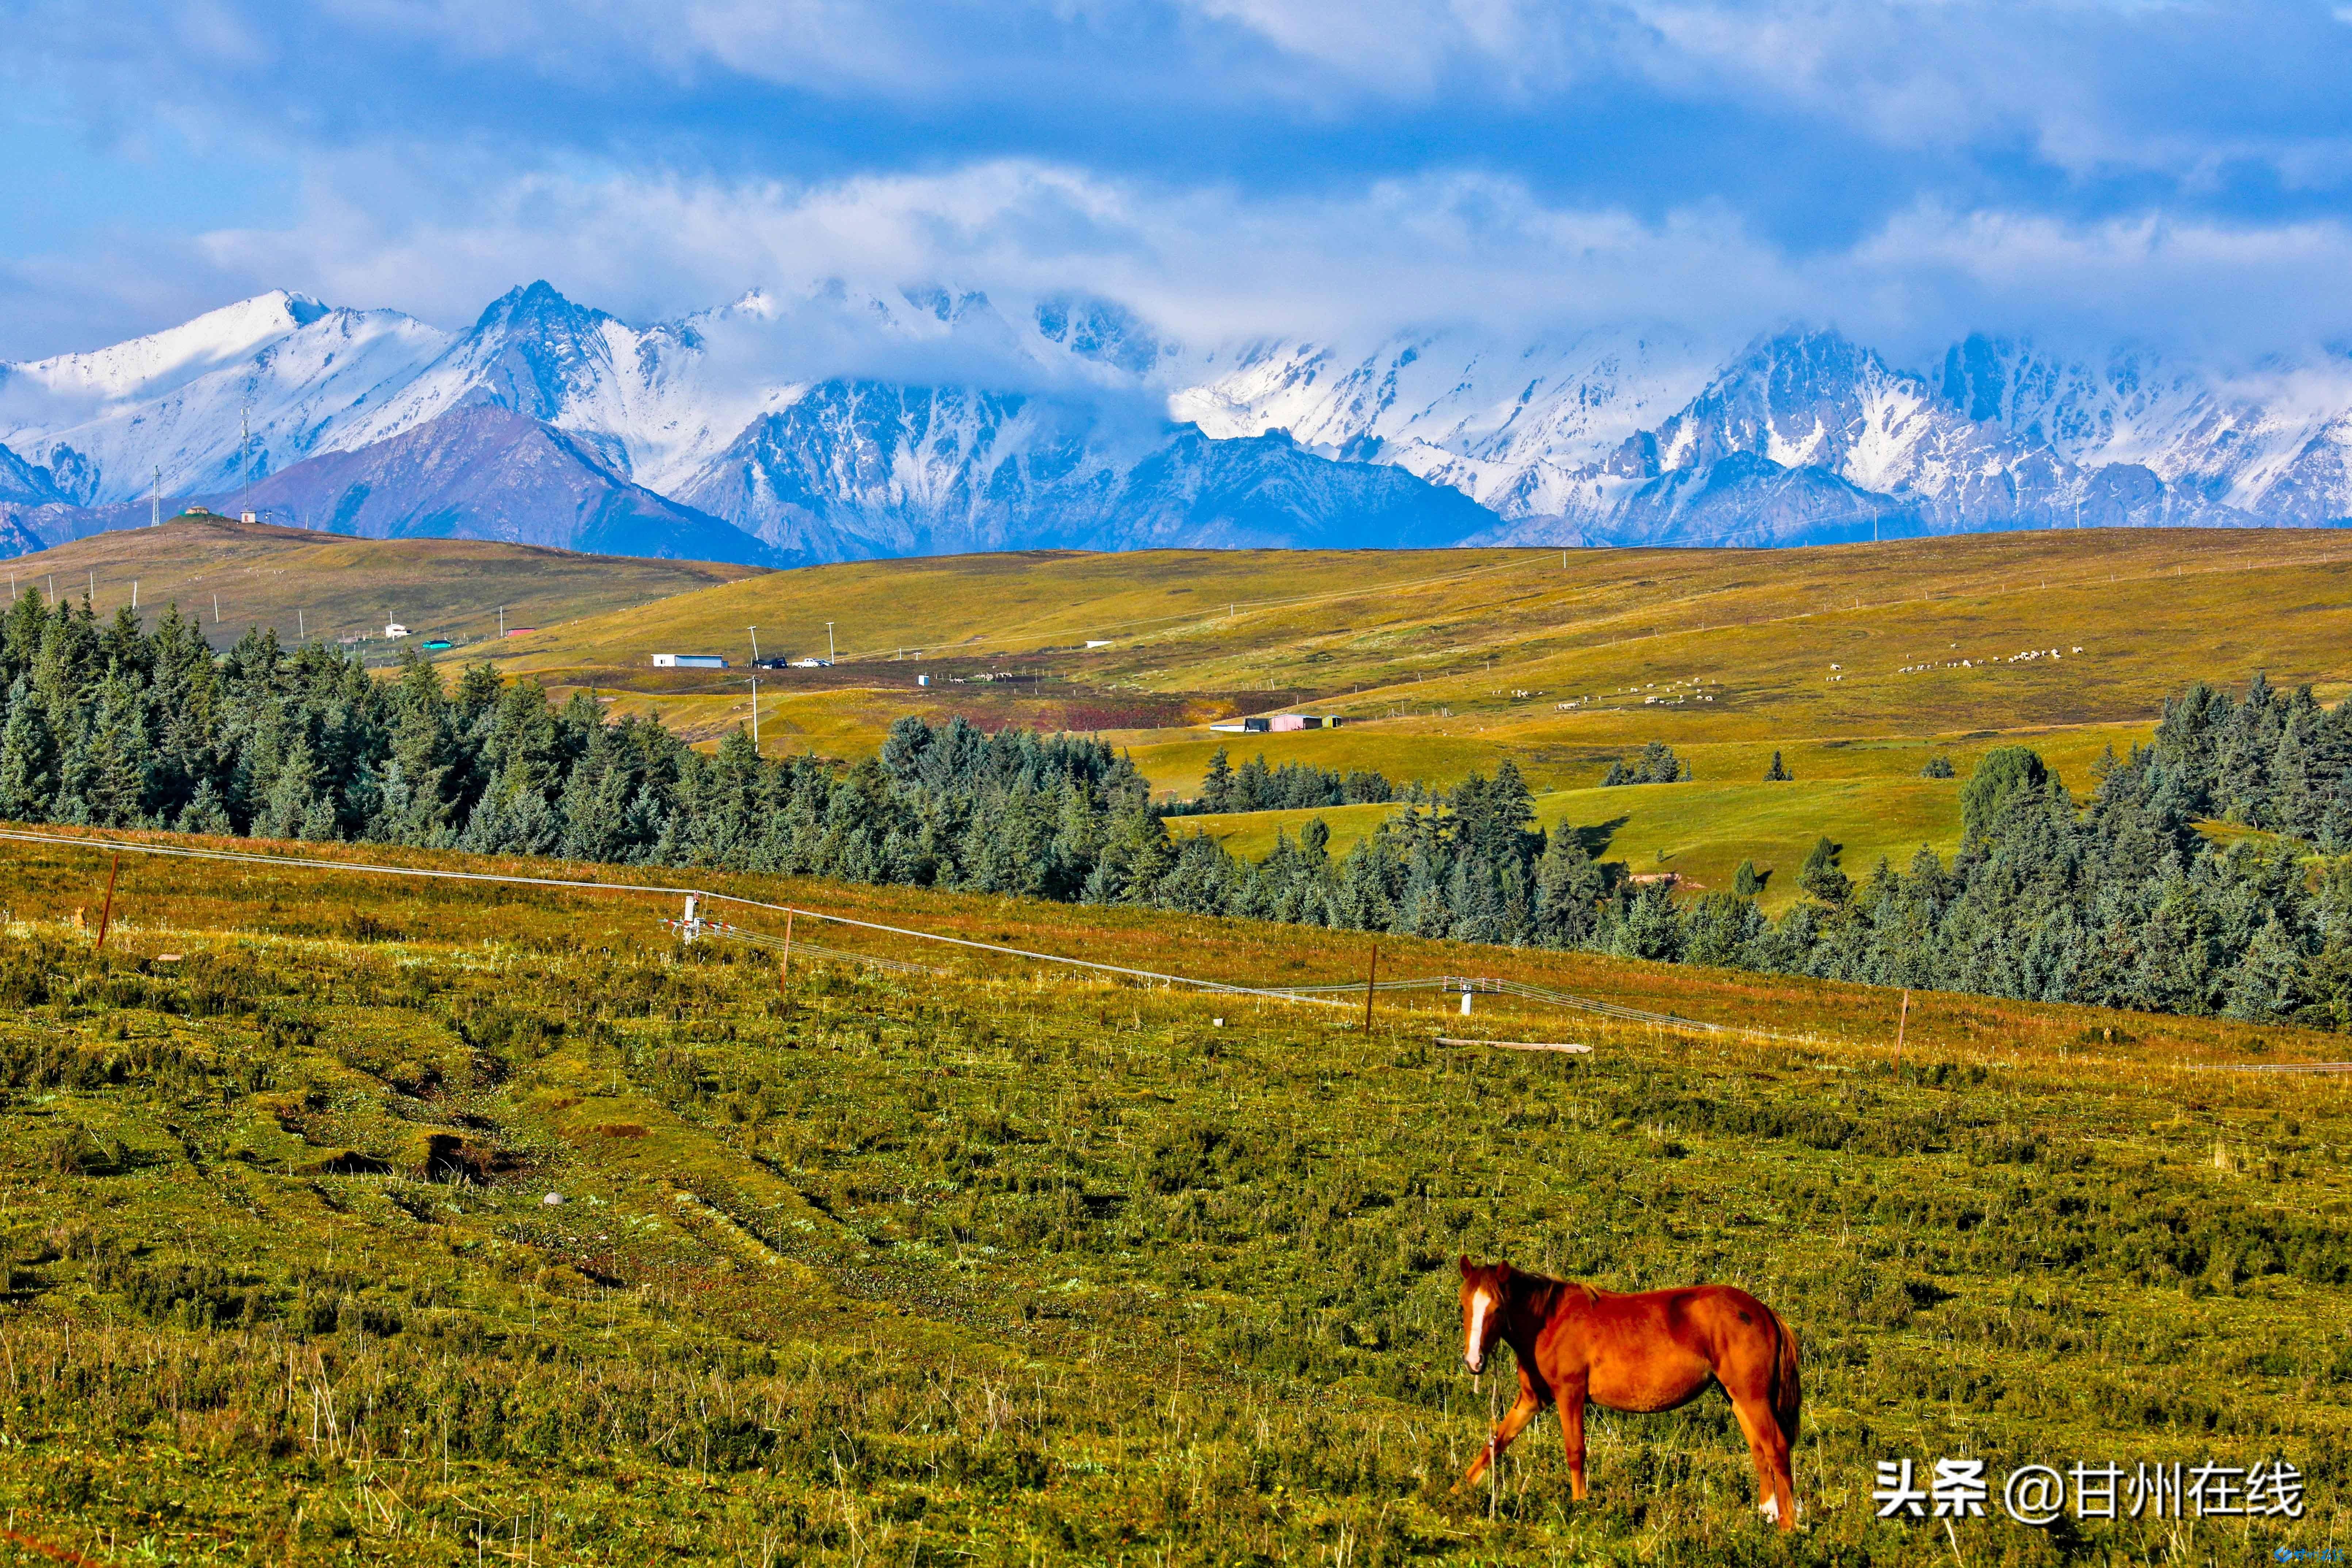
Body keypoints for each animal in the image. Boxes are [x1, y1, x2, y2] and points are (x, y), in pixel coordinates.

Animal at [1449, 1260, 1797, 1533]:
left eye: (1497, 1307)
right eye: (1463, 1305)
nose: (1474, 1361)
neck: (1549, 1320)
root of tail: (1764, 1312)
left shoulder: (1570, 1394)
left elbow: (1576, 1452)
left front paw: (1580, 1506)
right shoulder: (1533, 1400)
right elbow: (1496, 1443)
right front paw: (1455, 1492)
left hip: (1753, 1398)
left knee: (1777, 1449)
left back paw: (1789, 1524)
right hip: (1737, 1398)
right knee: (1760, 1450)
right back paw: (1768, 1514)